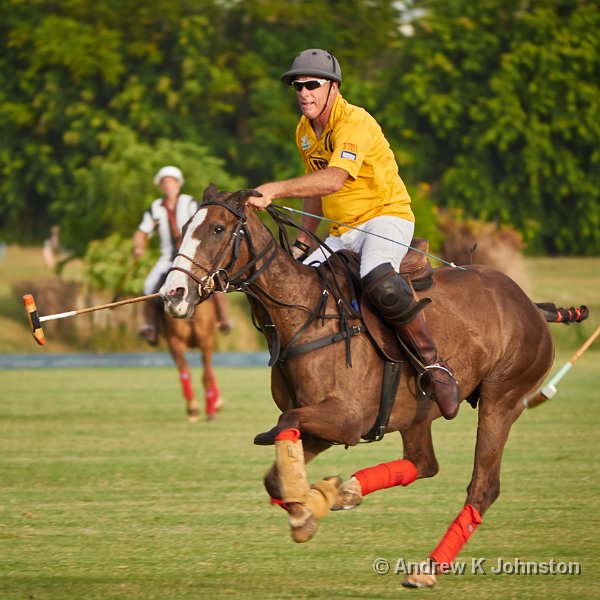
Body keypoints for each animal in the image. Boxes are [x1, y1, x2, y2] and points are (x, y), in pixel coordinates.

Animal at [158, 189, 584, 592]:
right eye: (185, 227)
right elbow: (277, 468)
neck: (305, 316)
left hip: (503, 399)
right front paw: (313, 504)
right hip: (417, 412)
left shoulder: (347, 419)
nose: (173, 294)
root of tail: (531, 305)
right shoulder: (322, 424)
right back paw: (351, 489)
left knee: (483, 487)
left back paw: (427, 570)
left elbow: (284, 428)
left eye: (217, 229)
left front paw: (308, 505)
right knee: (424, 463)